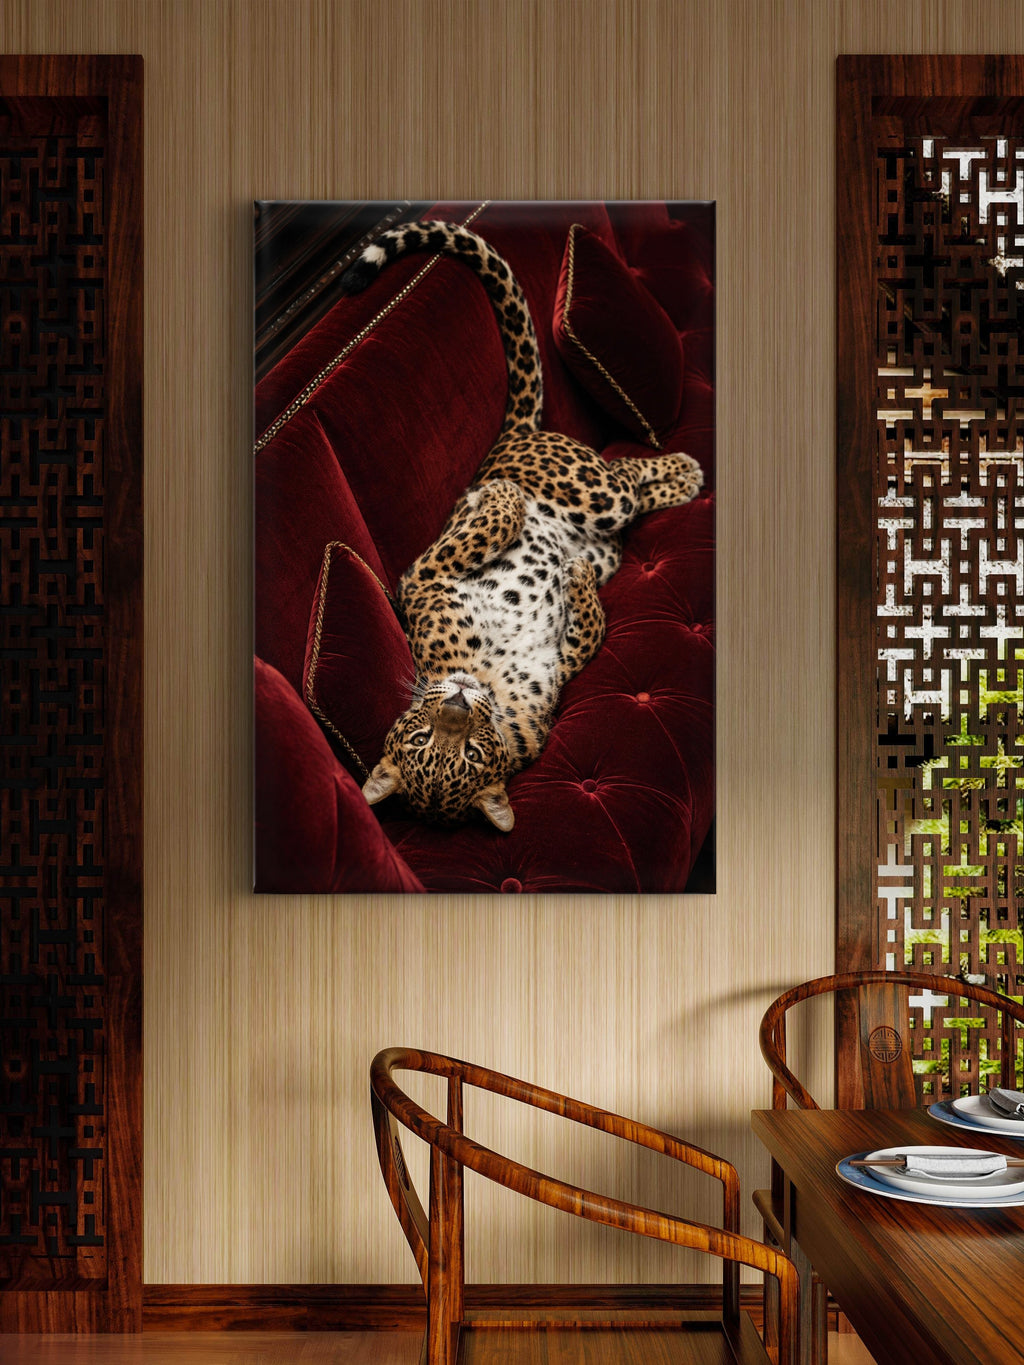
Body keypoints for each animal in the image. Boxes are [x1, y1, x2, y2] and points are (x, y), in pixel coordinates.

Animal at [339, 220, 703, 833]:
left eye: (464, 751)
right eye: (426, 744)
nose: (457, 700)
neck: (485, 679)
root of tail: (513, 436)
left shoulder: (423, 579)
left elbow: (469, 539)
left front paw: (503, 503)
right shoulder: (562, 667)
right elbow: (590, 628)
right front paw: (574, 577)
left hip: (588, 489)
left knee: (625, 477)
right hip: (604, 524)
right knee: (629, 488)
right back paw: (681, 479)